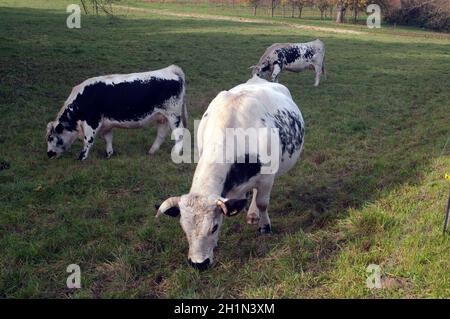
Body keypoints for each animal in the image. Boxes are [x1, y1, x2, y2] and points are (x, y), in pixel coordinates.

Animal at [45, 64, 186, 161]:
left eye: (51, 138)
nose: (49, 154)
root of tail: (169, 69)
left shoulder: (92, 121)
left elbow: (88, 140)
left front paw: (81, 158)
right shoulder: (106, 124)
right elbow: (108, 139)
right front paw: (108, 154)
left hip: (173, 115)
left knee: (179, 134)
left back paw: (176, 153)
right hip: (162, 117)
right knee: (161, 134)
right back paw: (152, 151)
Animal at [156, 75, 306, 270]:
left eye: (213, 227)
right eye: (184, 228)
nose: (198, 264)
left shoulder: (267, 178)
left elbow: (262, 203)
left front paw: (265, 227)